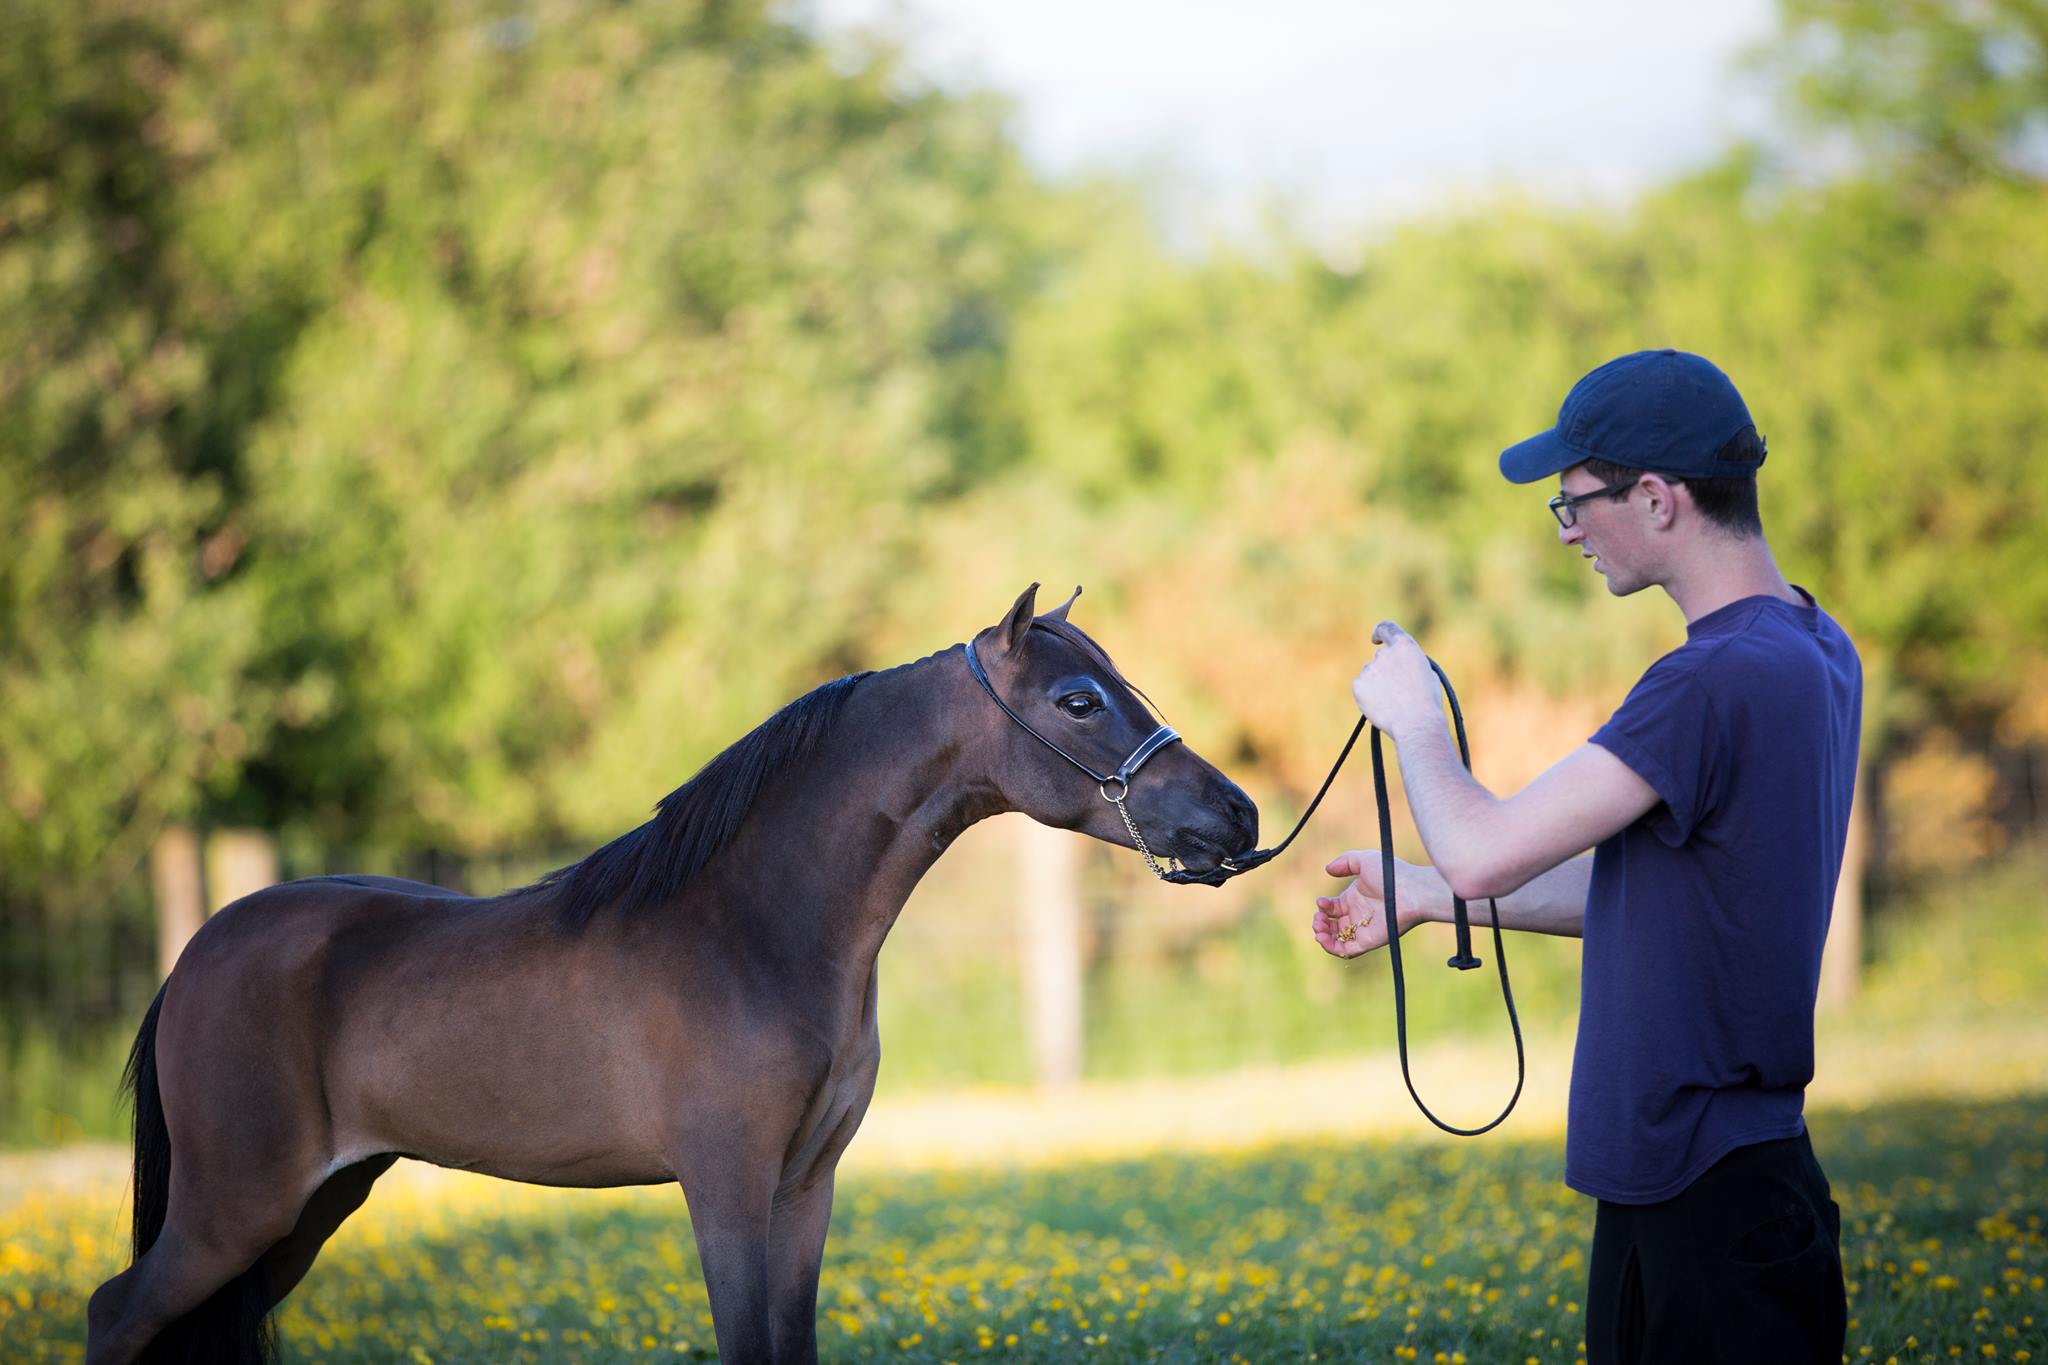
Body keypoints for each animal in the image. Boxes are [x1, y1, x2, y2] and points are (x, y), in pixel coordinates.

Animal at [86, 583, 1259, 1364]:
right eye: (1078, 701)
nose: (1236, 815)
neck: (750, 932)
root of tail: (200, 953)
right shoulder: (726, 1186)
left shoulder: (804, 1189)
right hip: (236, 1207)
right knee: (114, 1311)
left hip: (311, 1204)